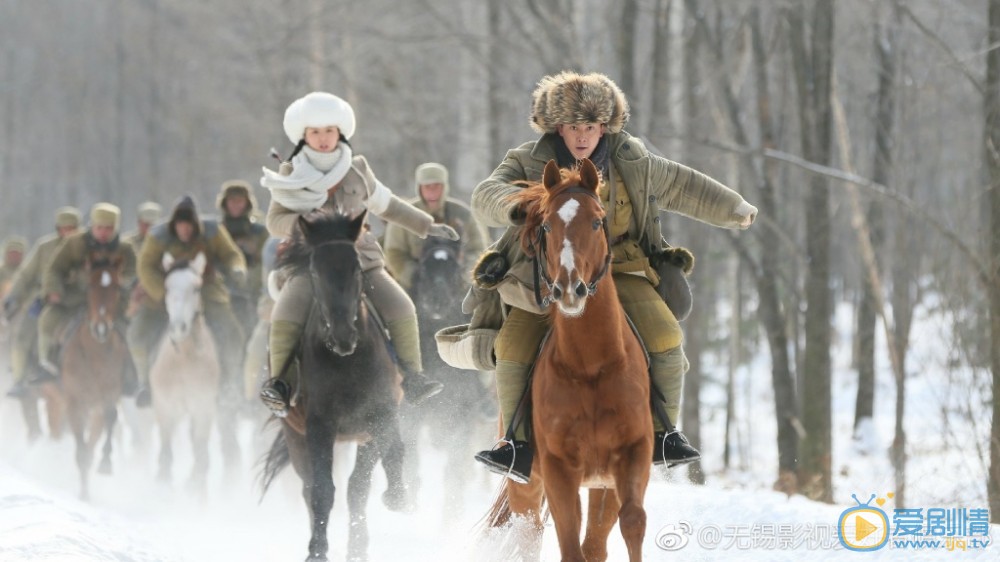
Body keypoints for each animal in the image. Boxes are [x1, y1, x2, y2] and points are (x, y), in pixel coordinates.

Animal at [60, 252, 130, 496]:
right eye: (89, 285)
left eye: (117, 286)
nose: (101, 328)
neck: (95, 355)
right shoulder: (73, 400)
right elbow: (81, 452)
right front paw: (83, 495)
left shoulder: (108, 396)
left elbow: (110, 416)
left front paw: (105, 464)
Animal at [149, 252, 220, 492]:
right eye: (167, 287)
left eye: (196, 288)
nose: (178, 328)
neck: (184, 363)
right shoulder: (165, 407)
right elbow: (165, 457)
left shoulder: (203, 408)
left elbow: (202, 459)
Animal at [264, 211, 412, 560]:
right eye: (314, 272)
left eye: (356, 267)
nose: (344, 335)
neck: (348, 361)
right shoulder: (319, 425)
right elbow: (321, 489)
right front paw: (317, 550)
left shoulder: (380, 413)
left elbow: (384, 461)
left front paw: (397, 499)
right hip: (296, 435)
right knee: (309, 488)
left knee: (363, 481)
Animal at [486, 159, 656, 560]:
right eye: (546, 225)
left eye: (596, 221)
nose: (569, 288)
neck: (590, 365)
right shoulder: (559, 469)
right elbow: (568, 543)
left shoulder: (631, 456)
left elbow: (632, 522)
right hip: (527, 484)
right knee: (529, 533)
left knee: (595, 541)